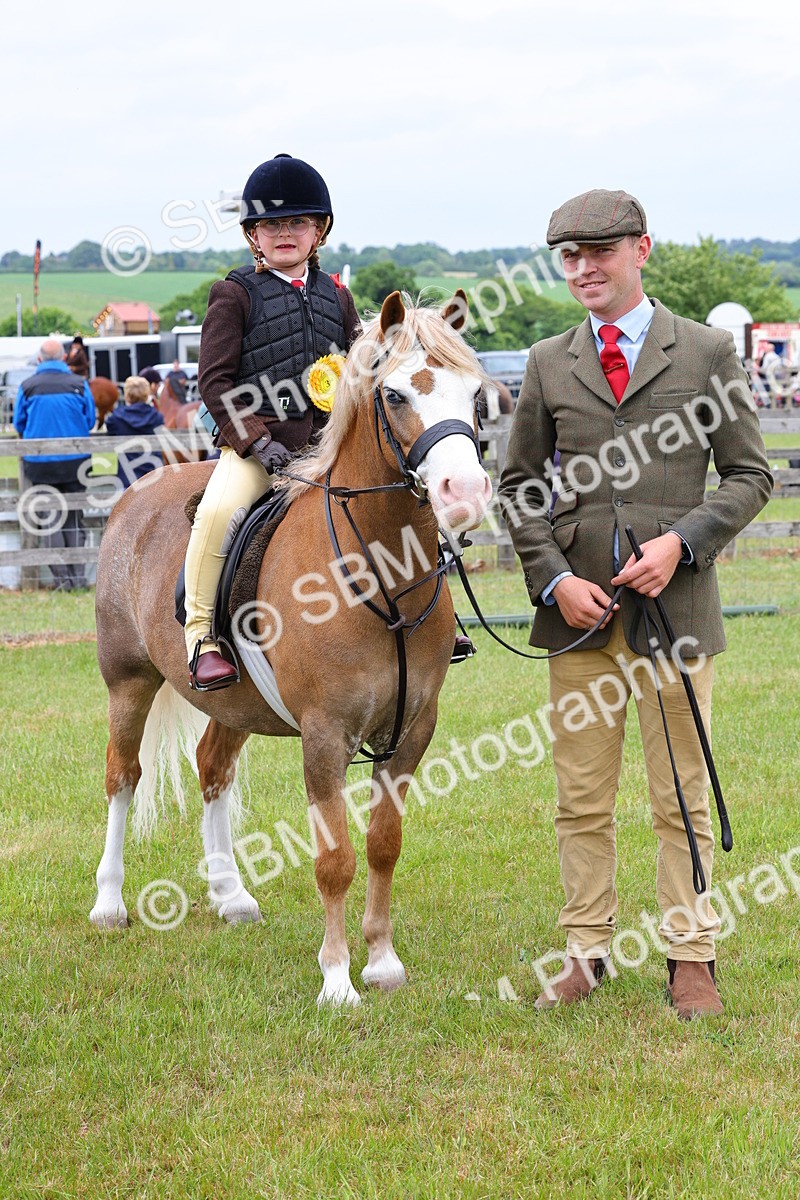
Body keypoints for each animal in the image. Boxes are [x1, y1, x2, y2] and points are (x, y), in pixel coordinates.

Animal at [89, 290, 492, 1006]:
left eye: (475, 396)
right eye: (394, 395)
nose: (464, 494)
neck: (378, 571)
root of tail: (137, 494)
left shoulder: (413, 730)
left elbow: (382, 844)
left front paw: (382, 962)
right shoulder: (324, 734)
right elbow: (334, 858)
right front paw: (336, 979)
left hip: (233, 702)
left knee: (212, 768)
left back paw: (231, 895)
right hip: (128, 683)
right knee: (123, 776)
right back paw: (109, 903)